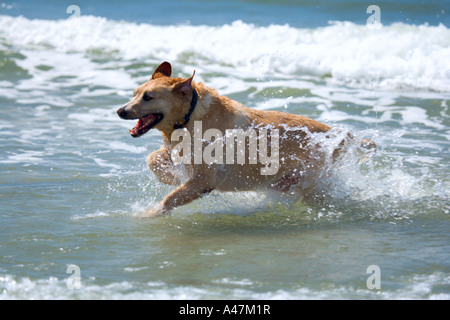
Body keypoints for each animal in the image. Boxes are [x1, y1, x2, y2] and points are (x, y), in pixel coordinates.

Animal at [117, 62, 376, 218]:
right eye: (134, 94)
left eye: (148, 97)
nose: (120, 110)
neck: (191, 116)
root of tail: (340, 135)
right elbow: (153, 159)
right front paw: (170, 176)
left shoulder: (204, 180)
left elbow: (171, 198)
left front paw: (150, 213)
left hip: (315, 182)